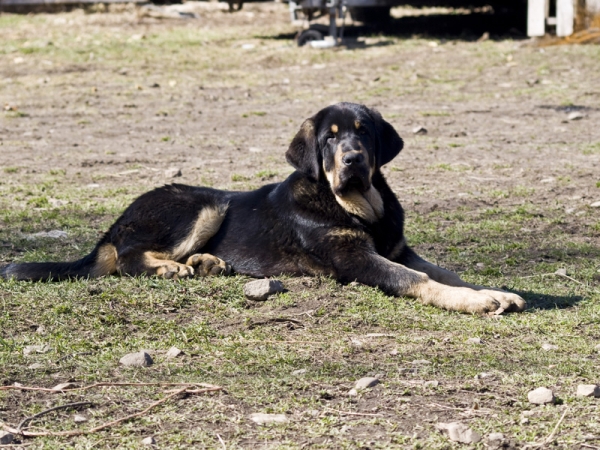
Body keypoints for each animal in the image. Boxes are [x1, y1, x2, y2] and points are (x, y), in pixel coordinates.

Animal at [0, 102, 524, 314]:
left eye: (363, 133)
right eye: (330, 138)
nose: (353, 160)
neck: (358, 205)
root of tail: (112, 226)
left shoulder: (397, 248)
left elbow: (445, 271)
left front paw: (498, 291)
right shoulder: (356, 260)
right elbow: (421, 281)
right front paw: (476, 302)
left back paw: (206, 263)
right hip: (204, 202)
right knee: (128, 258)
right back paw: (171, 268)